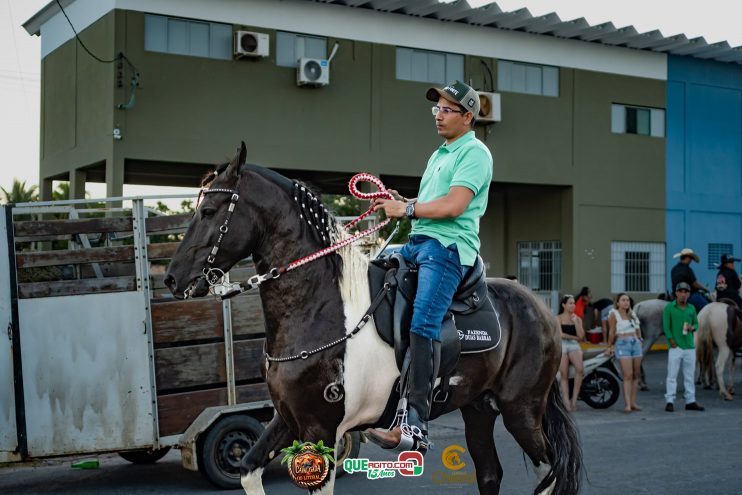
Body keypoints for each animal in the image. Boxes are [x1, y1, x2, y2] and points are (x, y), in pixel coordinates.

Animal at [166, 141, 584, 494]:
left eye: (208, 211)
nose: (173, 278)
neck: (320, 308)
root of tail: (540, 308)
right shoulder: (287, 418)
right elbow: (248, 470)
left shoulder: (321, 428)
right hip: (479, 408)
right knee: (491, 474)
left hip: (521, 410)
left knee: (549, 473)